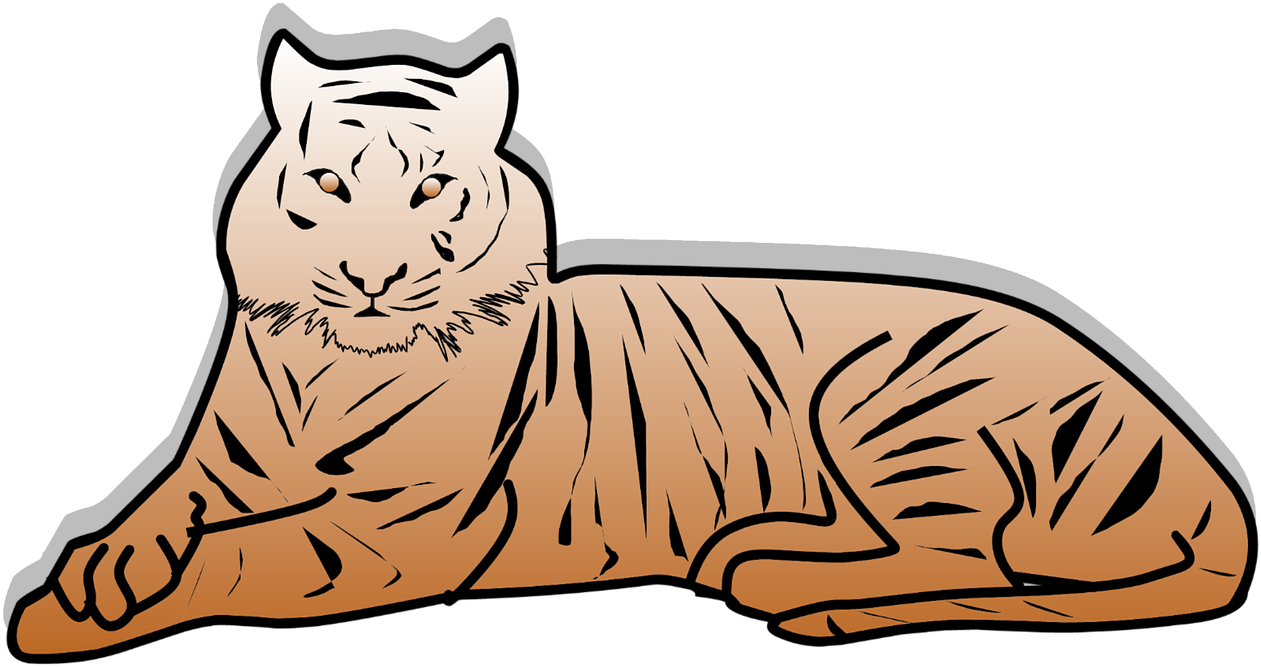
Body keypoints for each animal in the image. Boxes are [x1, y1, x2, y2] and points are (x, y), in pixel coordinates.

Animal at [7, 6, 1251, 656]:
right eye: (327, 181)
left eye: (429, 190)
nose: (369, 276)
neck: (324, 360)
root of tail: (1196, 465)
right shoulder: (210, 463)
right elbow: (156, 510)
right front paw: (83, 574)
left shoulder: (393, 529)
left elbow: (245, 554)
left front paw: (64, 618)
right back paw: (759, 550)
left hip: (889, 397)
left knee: (963, 558)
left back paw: (796, 595)